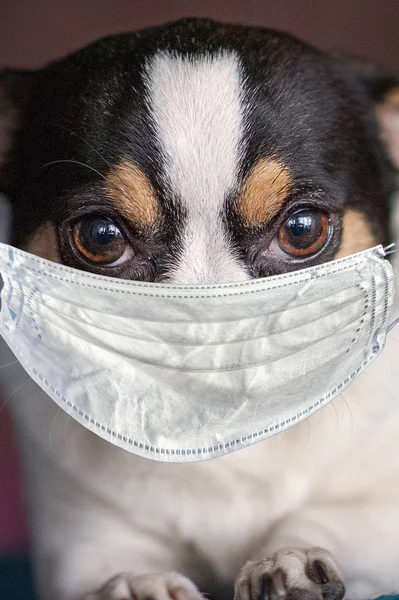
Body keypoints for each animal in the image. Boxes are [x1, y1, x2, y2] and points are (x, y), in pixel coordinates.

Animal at [0, 16, 399, 600]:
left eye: (303, 229)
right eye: (100, 236)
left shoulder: (379, 509)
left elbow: (328, 516)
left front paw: (288, 556)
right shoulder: (79, 544)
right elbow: (106, 570)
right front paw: (136, 583)